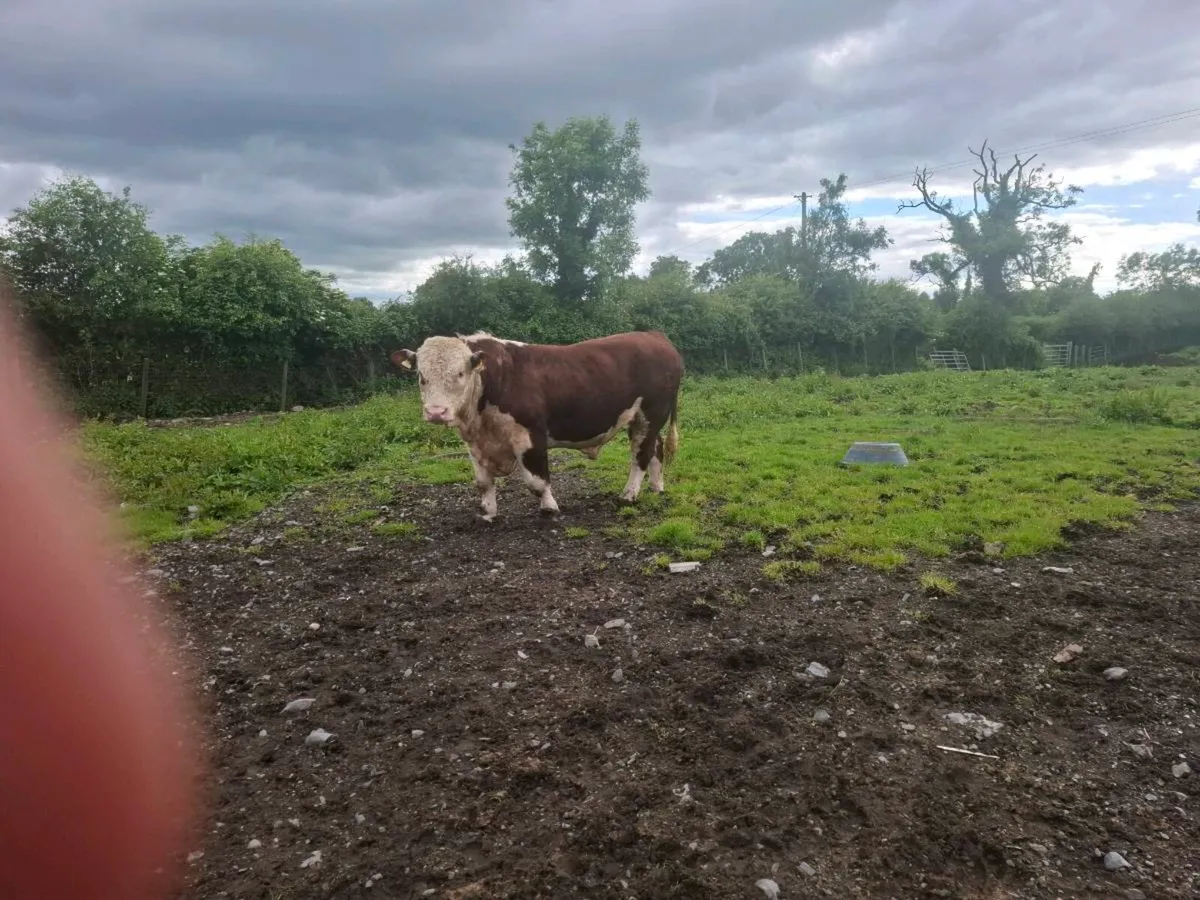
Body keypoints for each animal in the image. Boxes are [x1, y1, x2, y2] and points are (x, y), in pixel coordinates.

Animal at [390, 330, 683, 521]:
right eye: (421, 376)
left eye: (460, 373)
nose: (436, 412)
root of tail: (655, 335)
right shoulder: (475, 443)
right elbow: (483, 482)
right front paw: (487, 513)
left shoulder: (530, 437)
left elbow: (536, 481)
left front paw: (549, 508)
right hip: (646, 418)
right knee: (655, 449)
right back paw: (657, 487)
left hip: (650, 413)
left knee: (641, 454)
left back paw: (629, 494)